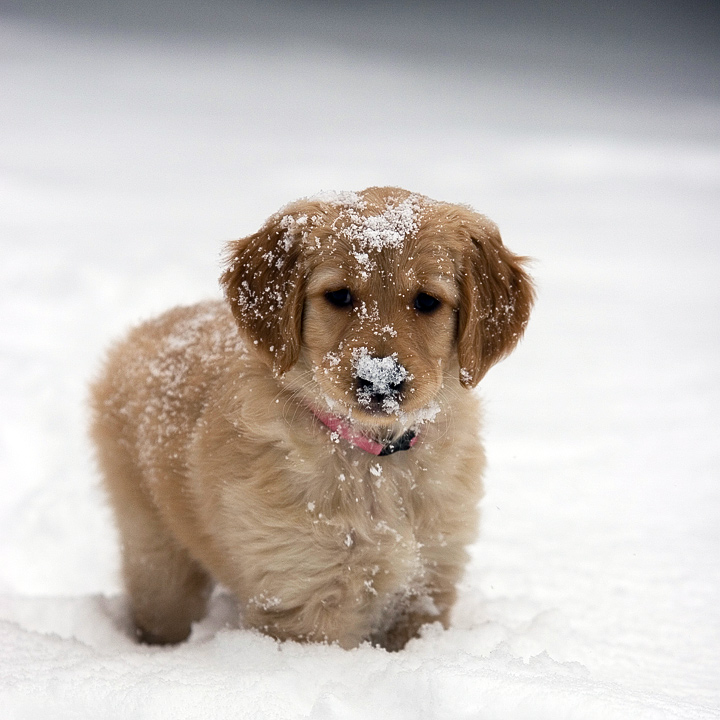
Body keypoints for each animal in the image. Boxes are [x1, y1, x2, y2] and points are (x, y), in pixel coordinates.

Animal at [90, 188, 532, 648]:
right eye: (339, 296)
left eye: (427, 301)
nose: (380, 378)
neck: (373, 462)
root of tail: (148, 327)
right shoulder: (302, 595)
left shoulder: (429, 580)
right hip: (155, 547)